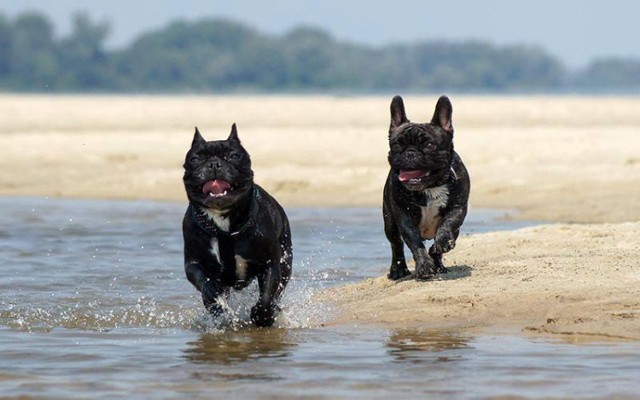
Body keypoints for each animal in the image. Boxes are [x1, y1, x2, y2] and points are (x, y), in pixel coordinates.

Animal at [180, 125, 290, 328]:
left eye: (234, 156)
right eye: (194, 159)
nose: (214, 164)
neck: (224, 224)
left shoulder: (269, 265)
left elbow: (266, 296)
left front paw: (262, 316)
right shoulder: (194, 264)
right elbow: (205, 283)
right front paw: (215, 301)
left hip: (285, 262)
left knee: (278, 292)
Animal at [384, 95, 470, 280]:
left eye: (429, 145)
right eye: (397, 145)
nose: (410, 152)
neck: (430, 186)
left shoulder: (457, 208)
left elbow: (447, 226)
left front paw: (442, 244)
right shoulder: (404, 217)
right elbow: (415, 244)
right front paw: (424, 266)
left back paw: (439, 264)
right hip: (390, 223)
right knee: (396, 245)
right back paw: (398, 270)